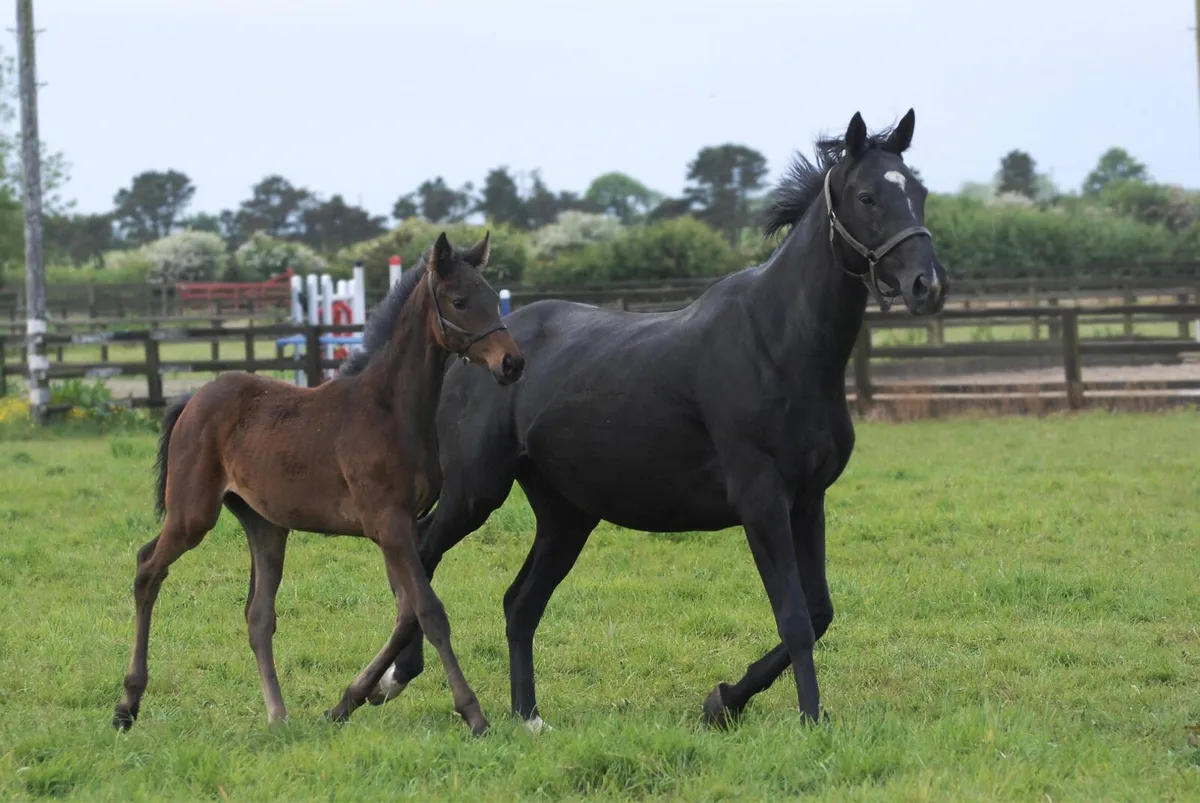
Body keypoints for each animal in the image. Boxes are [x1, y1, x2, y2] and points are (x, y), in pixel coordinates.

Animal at [111, 232, 524, 736]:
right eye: (460, 301)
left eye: (493, 298)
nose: (512, 362)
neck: (389, 409)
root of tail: (192, 398)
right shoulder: (388, 524)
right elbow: (429, 611)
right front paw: (473, 713)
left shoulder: (403, 525)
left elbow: (405, 612)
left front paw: (348, 701)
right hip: (192, 513)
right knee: (148, 568)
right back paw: (127, 704)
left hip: (265, 524)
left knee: (258, 615)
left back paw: (278, 715)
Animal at [359, 109, 949, 731]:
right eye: (867, 196)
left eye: (919, 192)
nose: (927, 286)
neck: (778, 343)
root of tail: (479, 351)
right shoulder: (762, 502)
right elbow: (794, 618)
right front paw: (806, 718)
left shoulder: (808, 501)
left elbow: (818, 611)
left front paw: (724, 701)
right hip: (475, 491)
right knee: (424, 553)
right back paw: (394, 678)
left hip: (566, 515)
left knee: (519, 603)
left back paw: (528, 716)